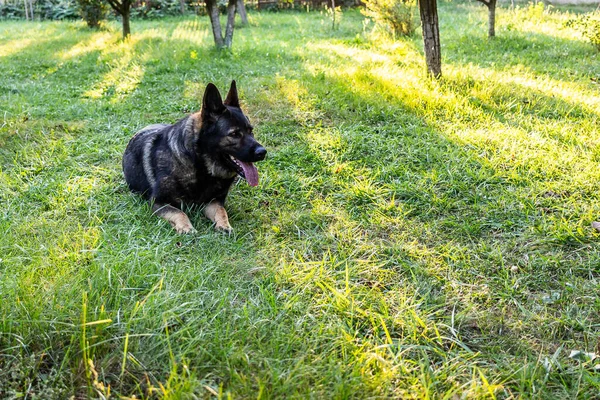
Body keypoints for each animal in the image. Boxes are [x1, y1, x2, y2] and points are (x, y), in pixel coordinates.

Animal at [123, 79, 266, 233]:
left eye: (250, 130)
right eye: (234, 134)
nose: (263, 152)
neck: (200, 165)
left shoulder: (213, 202)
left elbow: (221, 211)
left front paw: (224, 225)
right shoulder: (157, 202)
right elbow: (179, 212)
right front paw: (186, 227)